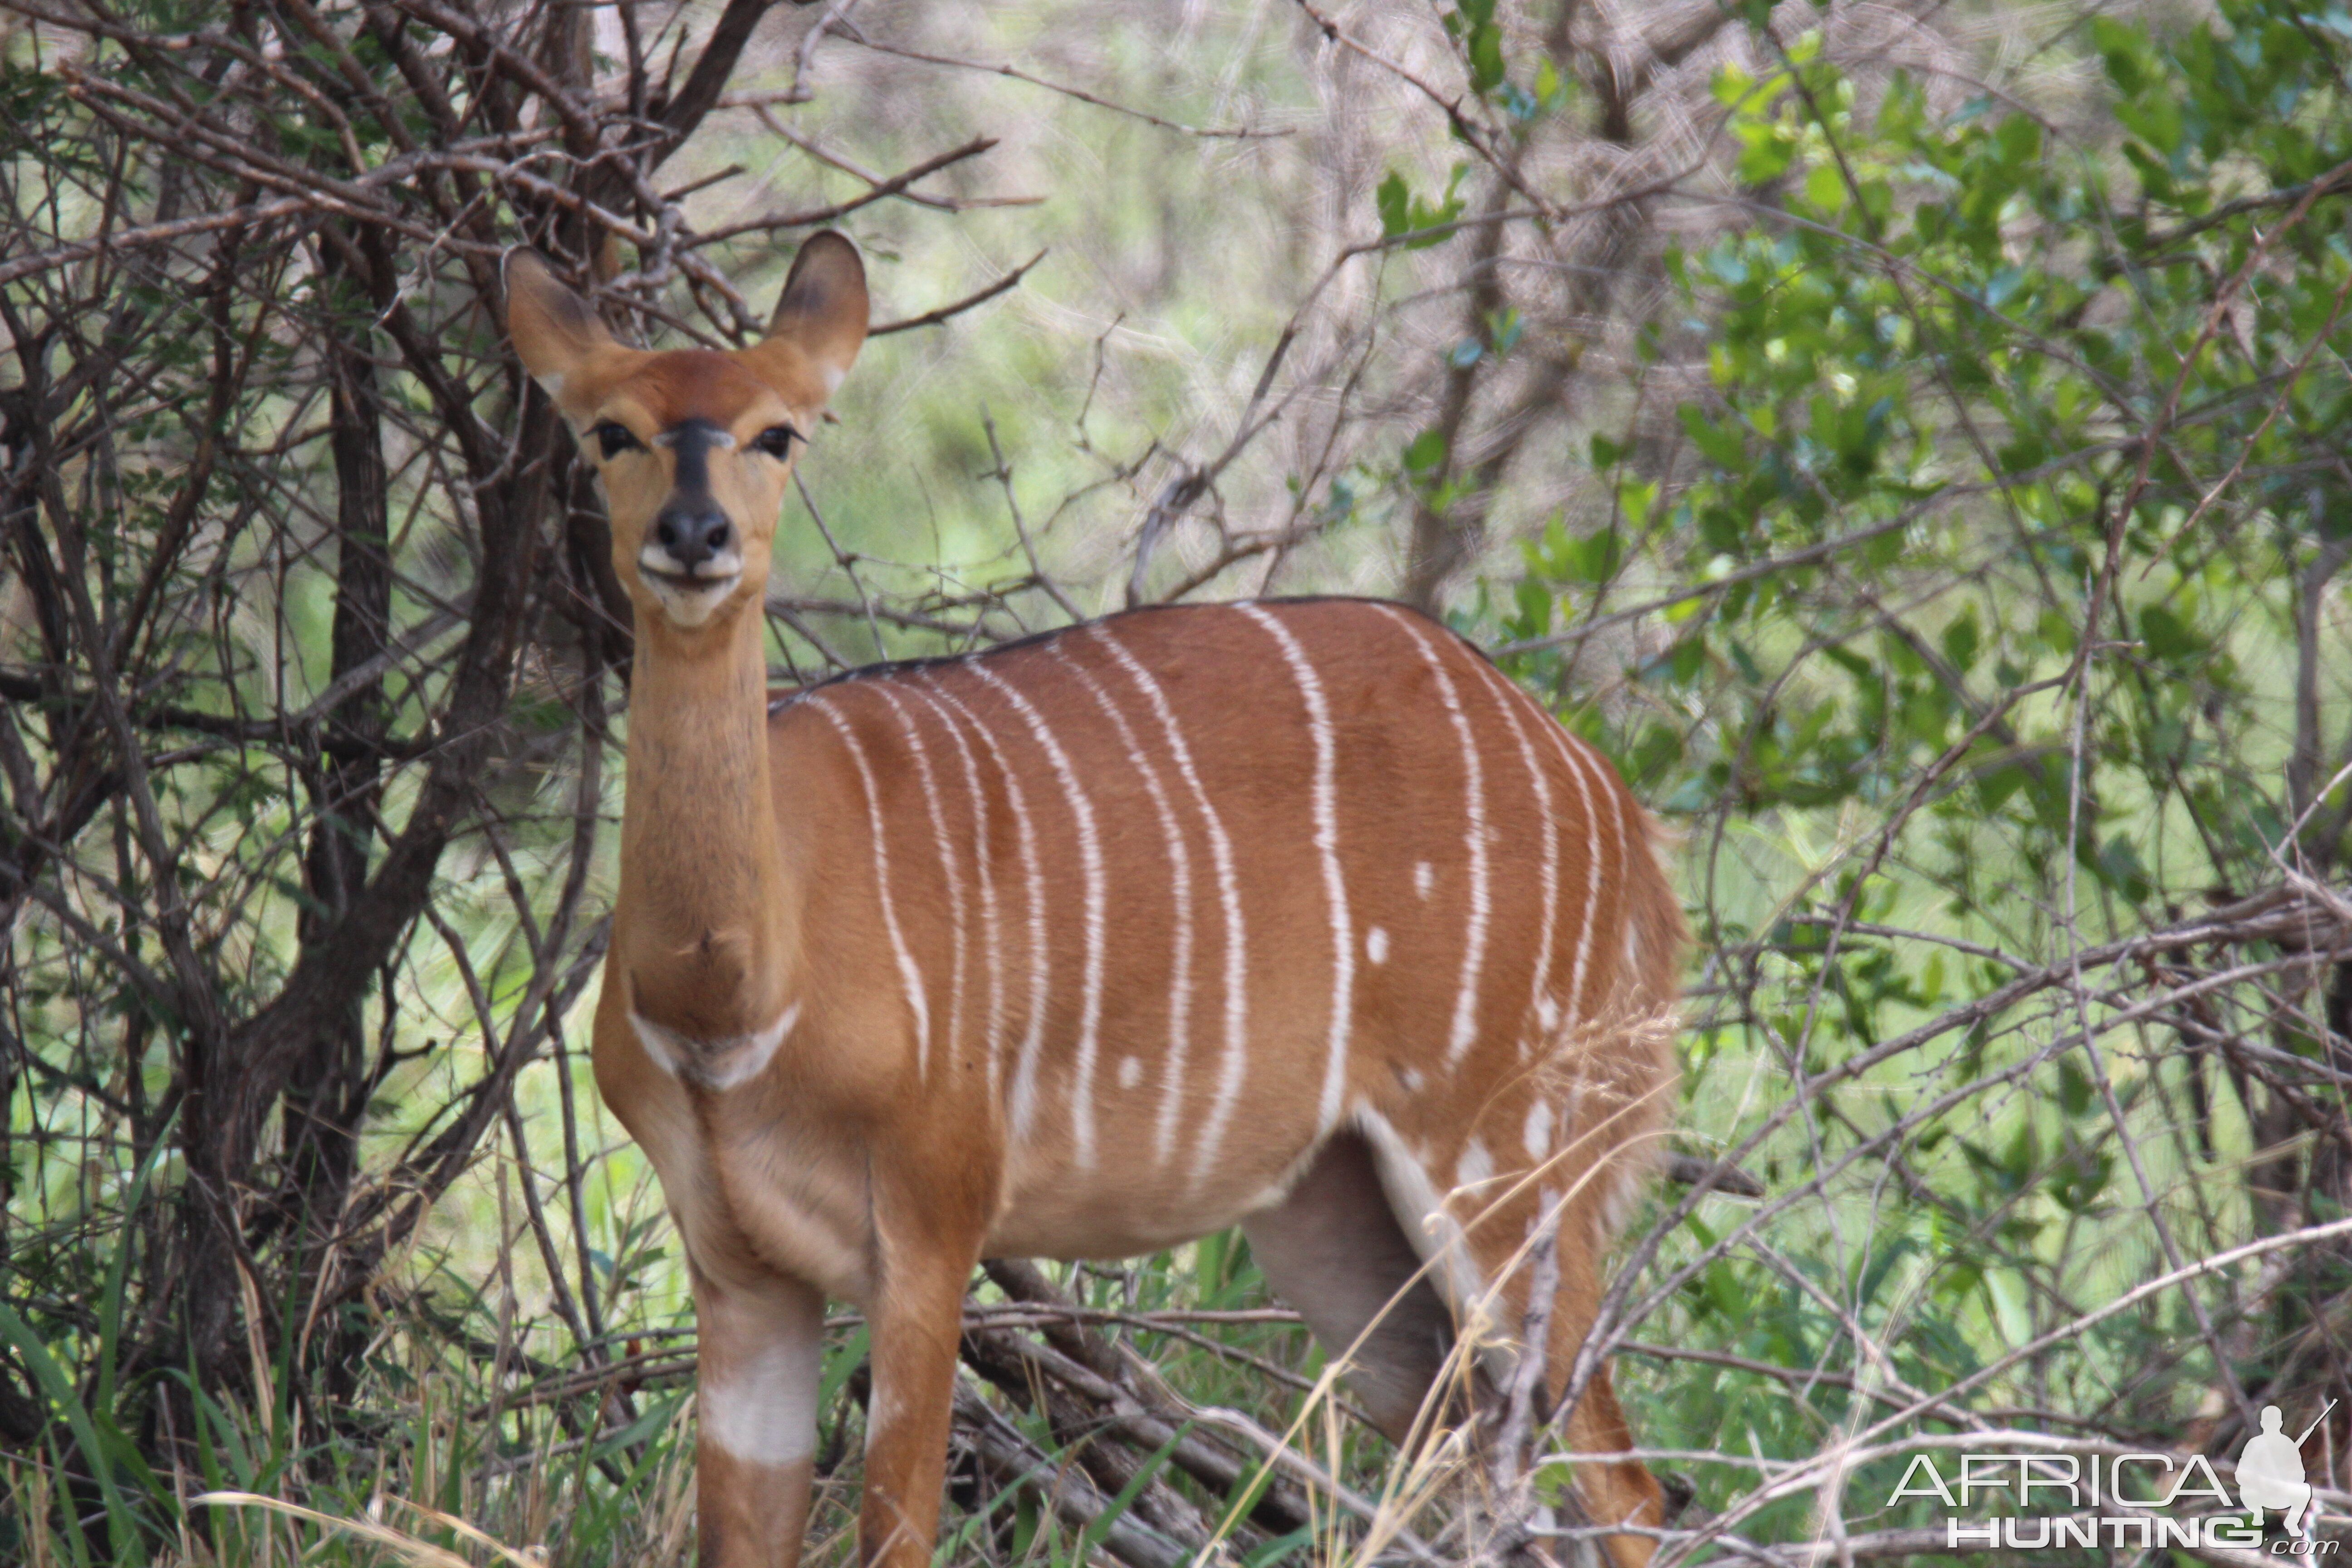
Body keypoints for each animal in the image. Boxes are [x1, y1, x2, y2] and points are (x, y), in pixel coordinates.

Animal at [510, 232, 1693, 1568]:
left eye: (778, 434)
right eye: (610, 432)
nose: (695, 532)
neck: (736, 991)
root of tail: (1615, 801)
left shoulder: (932, 1221)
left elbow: (901, 1527)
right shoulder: (739, 1265)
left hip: (1510, 1157)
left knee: (1624, 1489)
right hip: (1337, 1216)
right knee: (1479, 1462)